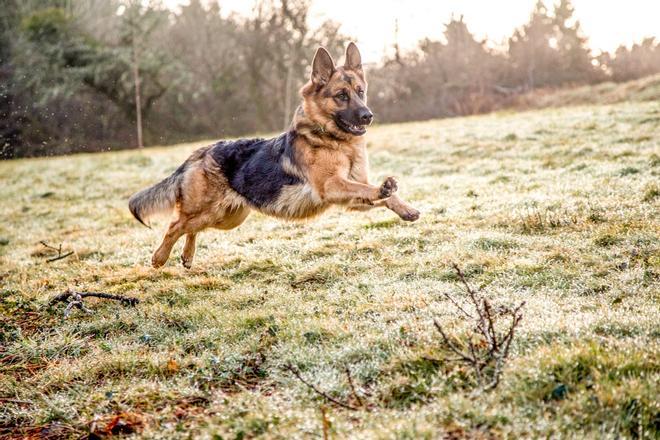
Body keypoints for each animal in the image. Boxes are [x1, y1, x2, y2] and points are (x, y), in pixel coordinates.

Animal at [127, 43, 418, 268]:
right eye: (341, 96)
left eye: (360, 92)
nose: (368, 116)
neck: (332, 139)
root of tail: (201, 151)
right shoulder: (332, 186)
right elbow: (371, 189)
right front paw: (384, 189)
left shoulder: (349, 198)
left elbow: (381, 194)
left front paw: (404, 208)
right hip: (207, 211)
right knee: (175, 225)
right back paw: (159, 258)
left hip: (226, 218)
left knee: (191, 228)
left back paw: (187, 256)